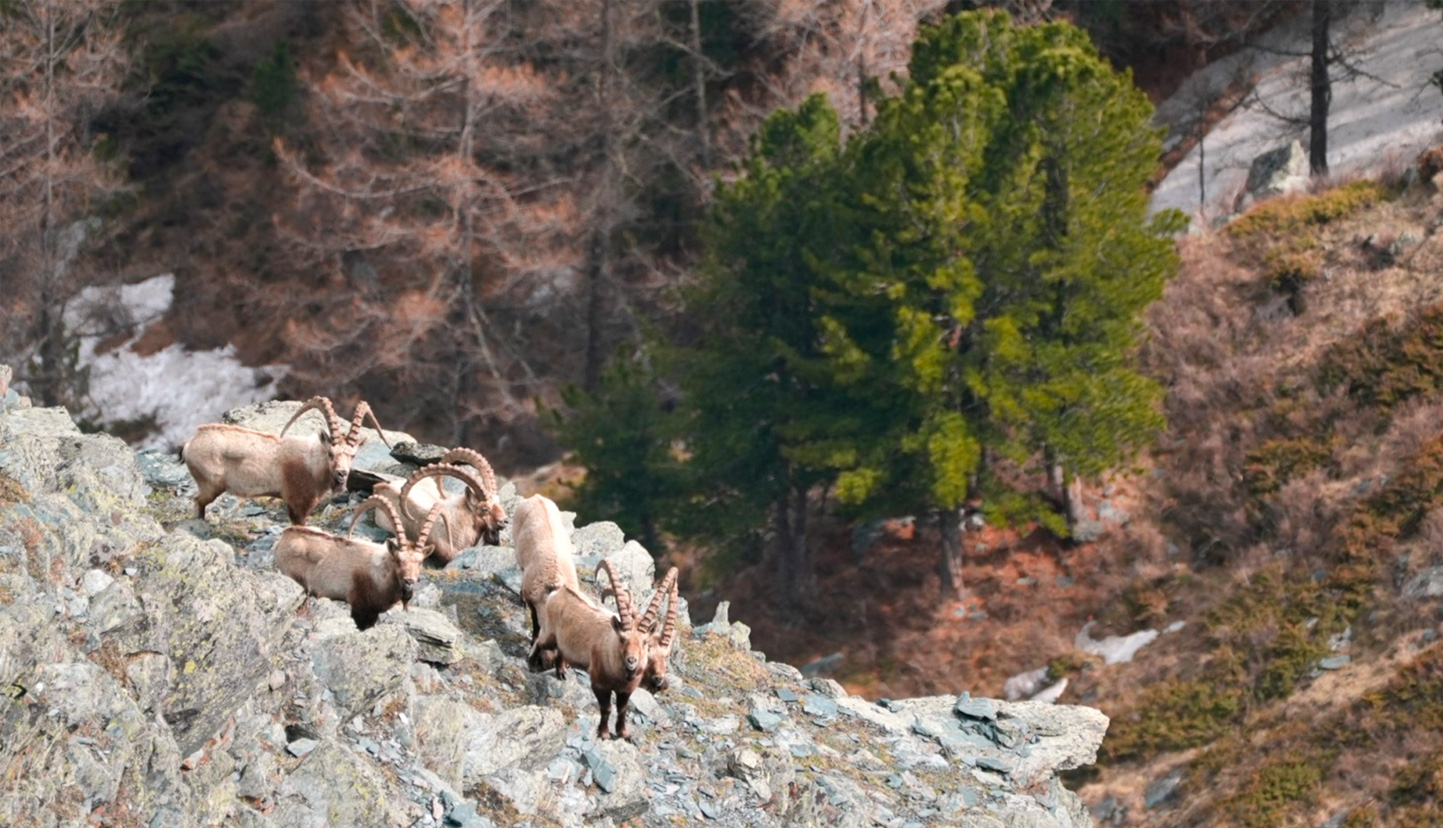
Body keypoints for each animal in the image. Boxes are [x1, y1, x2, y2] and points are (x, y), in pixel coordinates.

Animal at [181, 396, 389, 524]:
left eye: (353, 455)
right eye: (330, 453)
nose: (342, 473)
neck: (311, 465)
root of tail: (190, 443)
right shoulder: (298, 504)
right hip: (211, 485)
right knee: (198, 502)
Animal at [273, 494, 448, 630]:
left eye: (420, 562)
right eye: (398, 560)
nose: (409, 582)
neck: (379, 574)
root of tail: (285, 536)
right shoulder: (360, 609)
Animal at [529, 560, 651, 740]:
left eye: (645, 642)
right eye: (622, 639)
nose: (632, 661)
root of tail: (560, 591)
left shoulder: (626, 690)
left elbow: (622, 709)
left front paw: (624, 733)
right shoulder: (599, 684)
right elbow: (607, 708)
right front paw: (604, 733)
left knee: (560, 651)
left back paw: (561, 672)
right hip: (549, 634)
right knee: (539, 642)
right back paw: (531, 666)